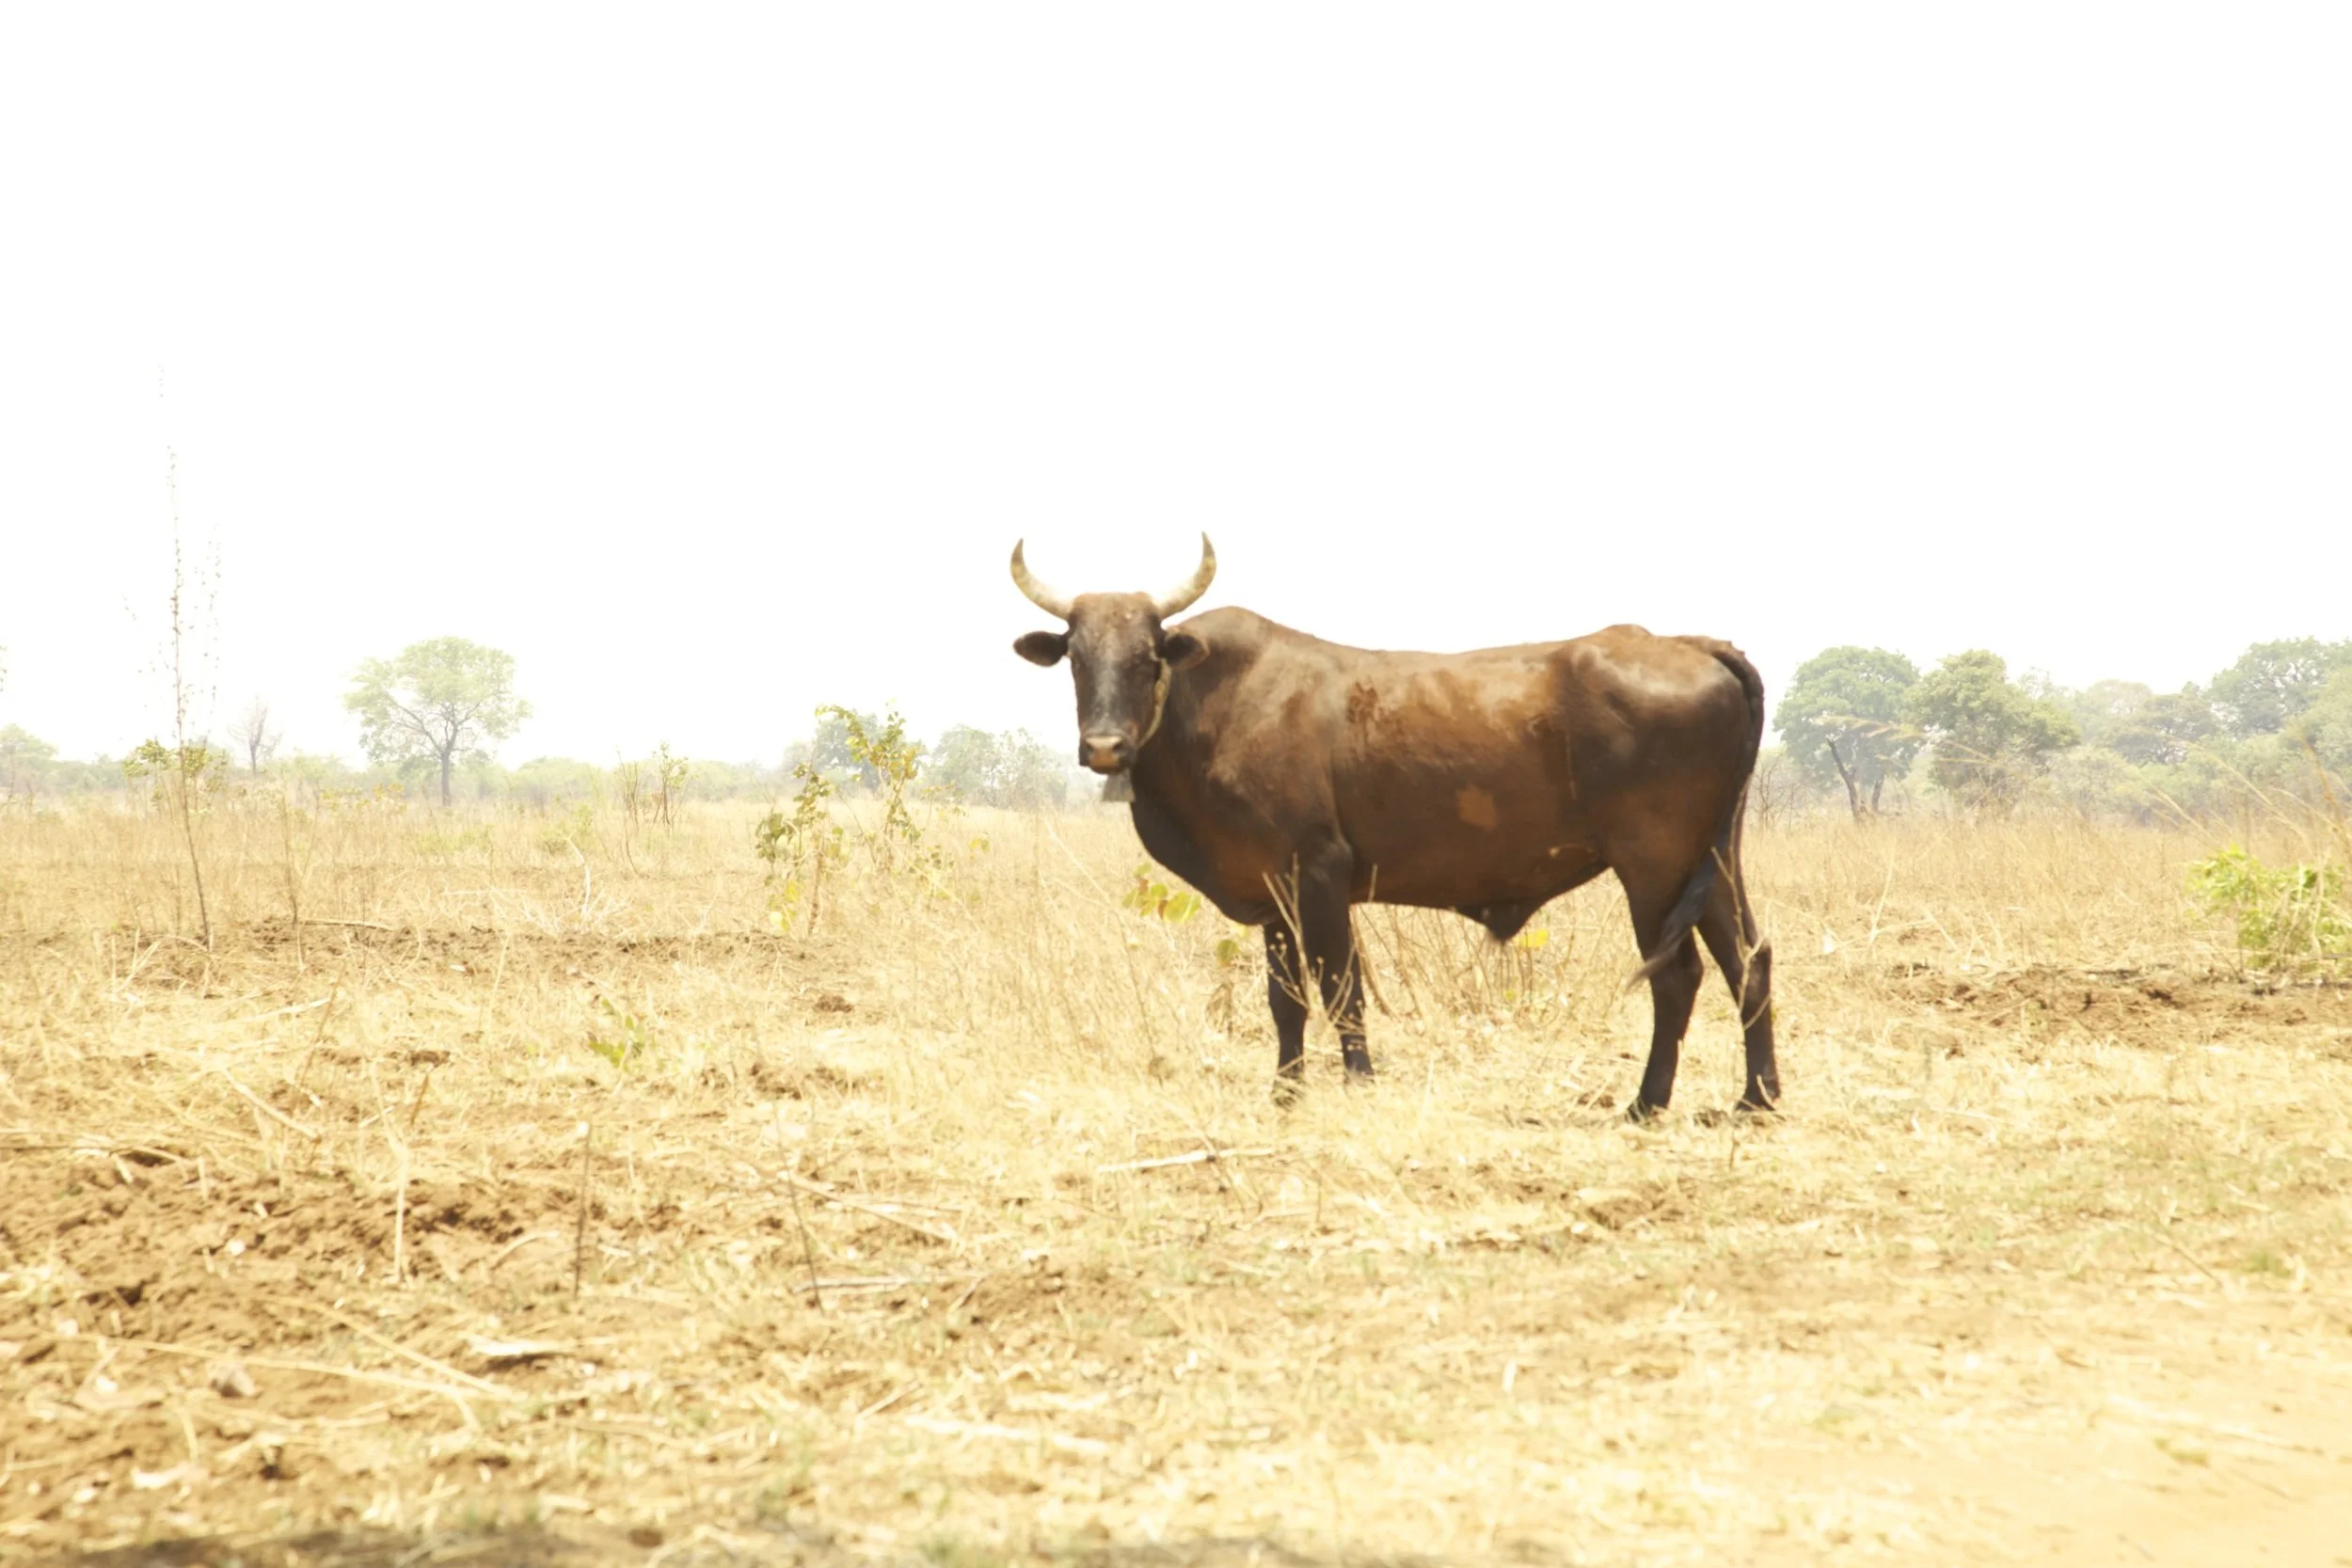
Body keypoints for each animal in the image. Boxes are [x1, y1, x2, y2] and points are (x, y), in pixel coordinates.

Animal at [1009, 534, 1777, 1120]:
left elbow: (1340, 987)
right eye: (1078, 659)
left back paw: (1647, 1102)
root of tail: (1691, 644)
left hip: (1655, 866)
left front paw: (1357, 1080)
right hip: (1711, 864)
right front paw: (1286, 1091)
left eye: (1147, 658)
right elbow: (1286, 1000)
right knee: (1750, 959)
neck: (1217, 708)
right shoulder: (1272, 895)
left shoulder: (1320, 874)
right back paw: (1756, 1098)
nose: (1105, 747)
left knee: (1678, 974)